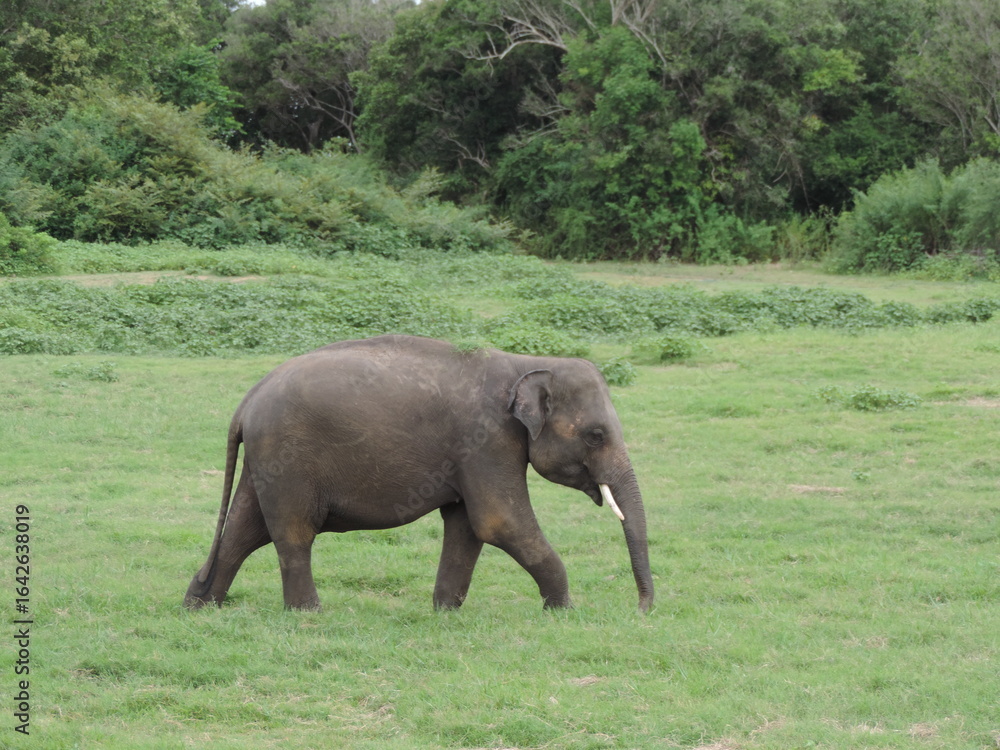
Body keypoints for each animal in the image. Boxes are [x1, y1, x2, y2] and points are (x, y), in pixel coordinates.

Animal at [184, 334, 654, 612]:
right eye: (595, 435)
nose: (643, 609)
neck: (526, 362)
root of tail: (247, 400)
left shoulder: (474, 454)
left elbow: (467, 526)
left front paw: (445, 611)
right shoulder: (486, 440)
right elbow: (500, 522)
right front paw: (562, 610)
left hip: (266, 461)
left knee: (245, 529)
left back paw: (200, 606)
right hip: (287, 457)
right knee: (292, 533)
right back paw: (308, 613)